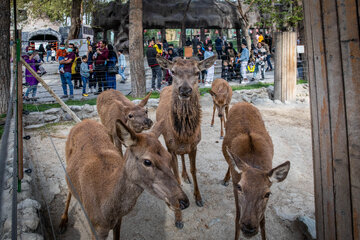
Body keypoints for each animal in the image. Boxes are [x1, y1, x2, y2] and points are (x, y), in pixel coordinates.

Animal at [59, 119, 190, 239]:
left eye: (169, 157)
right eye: (147, 161)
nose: (184, 202)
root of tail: (84, 121)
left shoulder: (118, 222)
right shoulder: (95, 229)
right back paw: (62, 222)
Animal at [155, 54, 217, 229]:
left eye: (197, 72)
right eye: (173, 71)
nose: (184, 90)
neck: (183, 135)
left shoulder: (195, 145)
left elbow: (194, 170)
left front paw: (199, 198)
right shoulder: (170, 147)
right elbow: (175, 176)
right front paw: (178, 218)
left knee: (183, 157)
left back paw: (185, 176)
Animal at [221, 102, 292, 239]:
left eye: (268, 194)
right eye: (239, 187)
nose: (248, 228)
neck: (254, 163)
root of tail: (242, 102)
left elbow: (263, 221)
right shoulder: (235, 185)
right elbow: (237, 217)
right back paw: (225, 179)